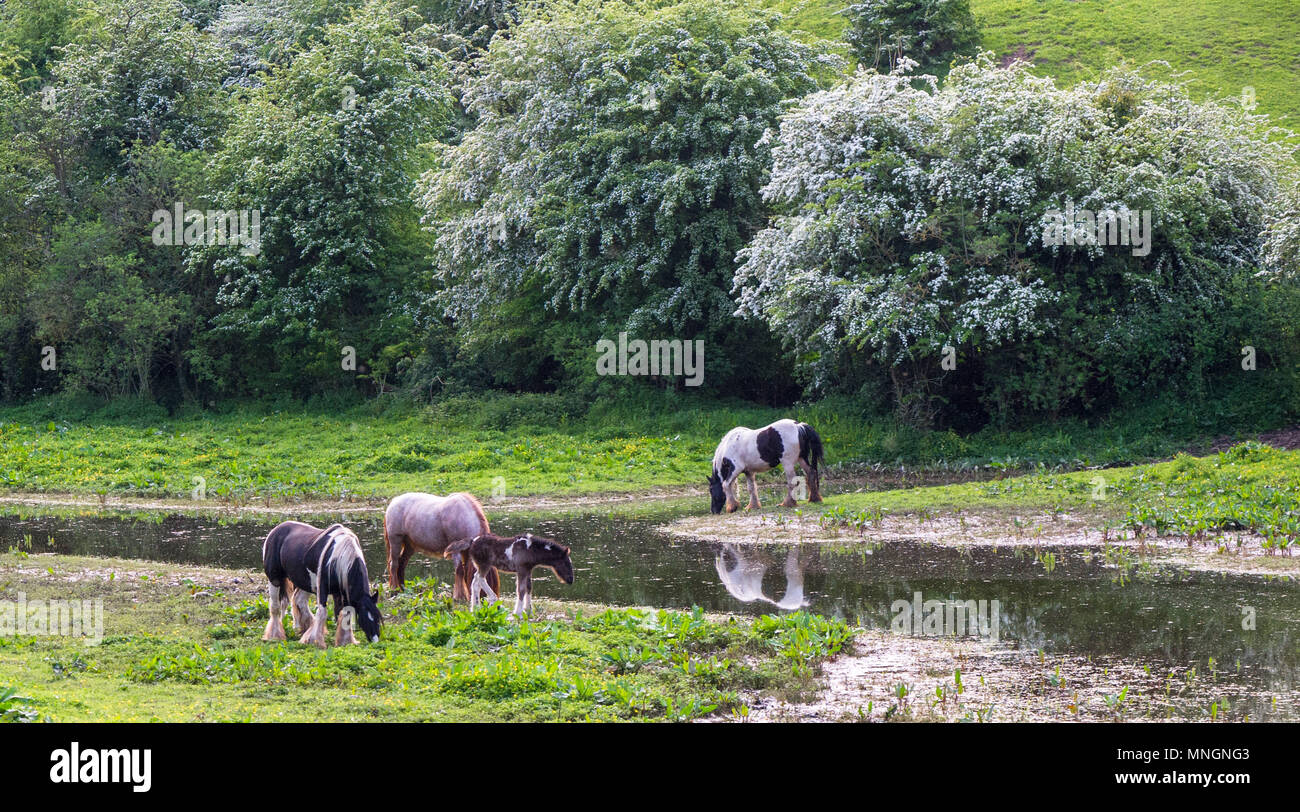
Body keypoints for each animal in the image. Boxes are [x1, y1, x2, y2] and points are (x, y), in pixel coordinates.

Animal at [442, 532, 574, 616]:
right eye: (566, 563)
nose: (570, 580)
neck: (530, 550)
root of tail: (472, 541)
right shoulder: (521, 570)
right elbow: (521, 590)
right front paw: (518, 612)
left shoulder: (528, 571)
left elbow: (529, 588)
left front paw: (529, 611)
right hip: (484, 565)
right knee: (480, 579)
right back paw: (493, 600)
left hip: (481, 566)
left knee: (475, 582)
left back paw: (475, 608)